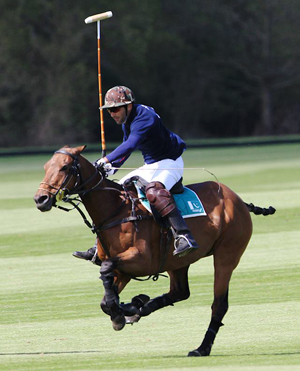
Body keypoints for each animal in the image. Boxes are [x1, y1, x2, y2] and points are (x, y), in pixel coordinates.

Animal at [34, 146, 276, 358]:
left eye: (65, 167)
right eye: (46, 166)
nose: (40, 199)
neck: (115, 211)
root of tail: (238, 200)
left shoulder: (141, 260)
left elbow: (106, 271)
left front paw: (123, 310)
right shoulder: (123, 270)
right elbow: (105, 295)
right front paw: (126, 308)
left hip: (227, 255)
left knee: (219, 304)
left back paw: (201, 348)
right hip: (178, 262)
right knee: (180, 292)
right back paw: (138, 308)